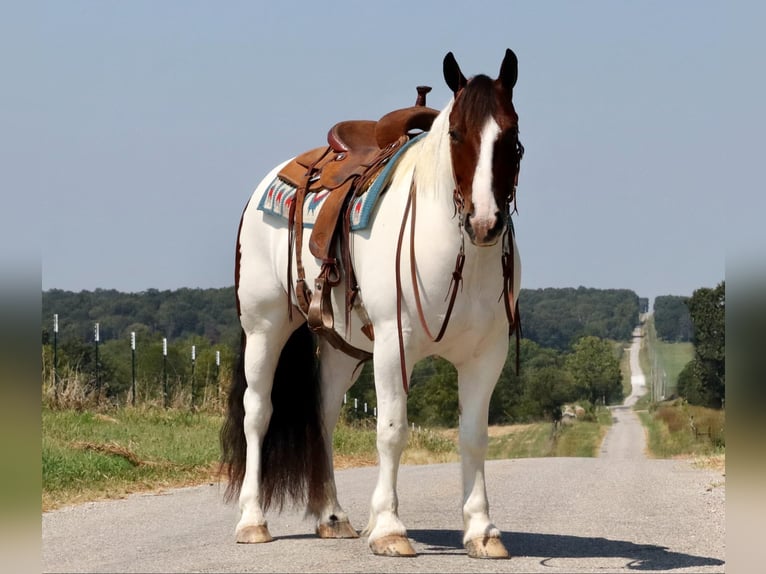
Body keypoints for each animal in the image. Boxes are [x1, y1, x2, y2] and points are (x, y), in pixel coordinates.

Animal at [219, 49, 524, 564]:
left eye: (512, 135)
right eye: (456, 134)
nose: (484, 222)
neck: (455, 253)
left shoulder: (487, 355)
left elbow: (474, 437)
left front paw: (482, 530)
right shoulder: (393, 346)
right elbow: (393, 429)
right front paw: (388, 529)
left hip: (341, 349)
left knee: (322, 416)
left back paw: (332, 517)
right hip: (264, 326)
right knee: (258, 412)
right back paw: (251, 521)